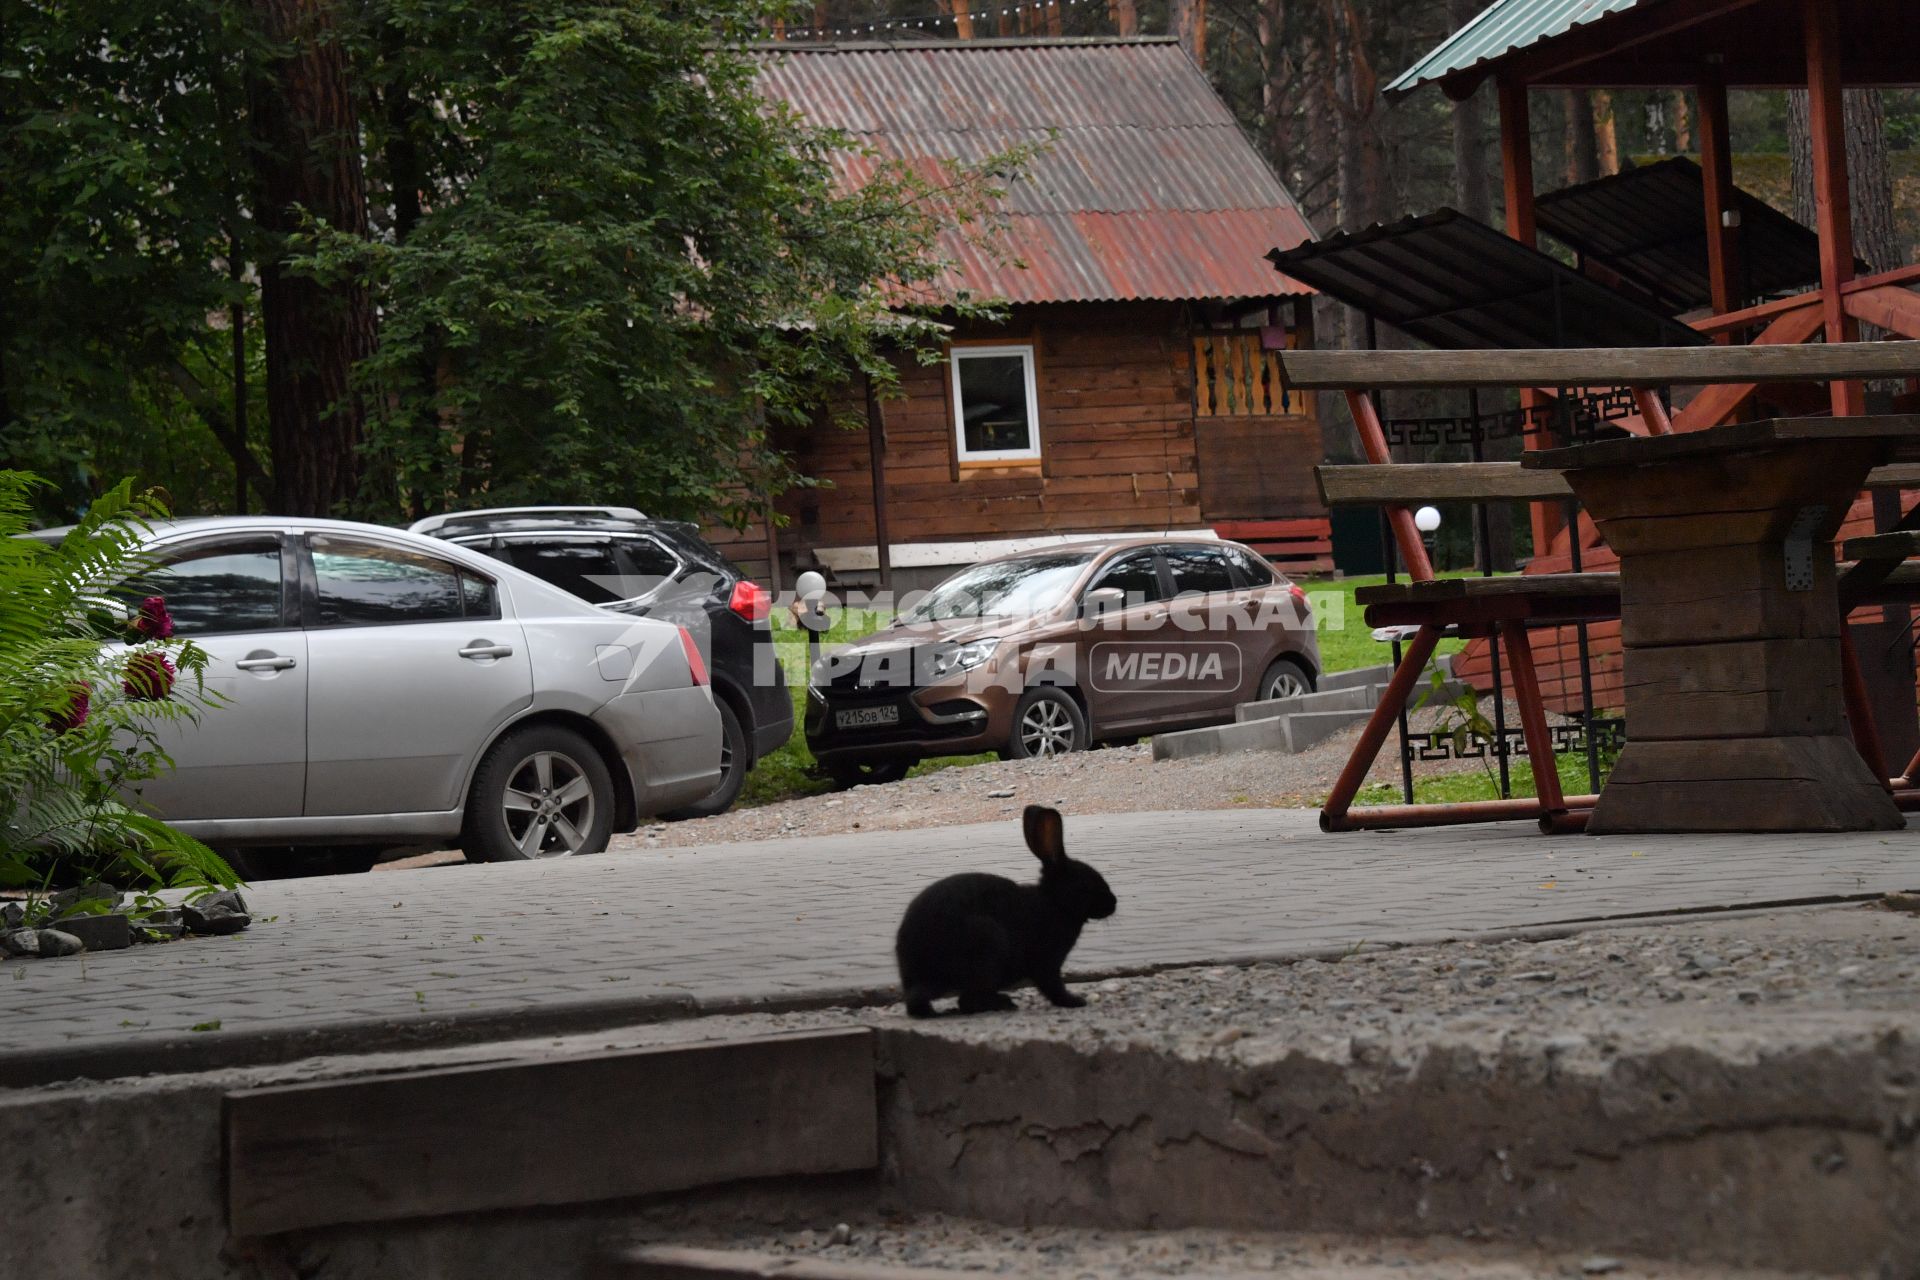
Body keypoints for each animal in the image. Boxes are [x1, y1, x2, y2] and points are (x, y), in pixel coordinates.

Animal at [894, 805, 1121, 1013]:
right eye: (1088, 883)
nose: (1113, 902)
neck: (1054, 903)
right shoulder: (1046, 962)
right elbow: (1052, 986)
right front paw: (1073, 1001)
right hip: (986, 944)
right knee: (968, 1001)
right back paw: (1003, 1004)